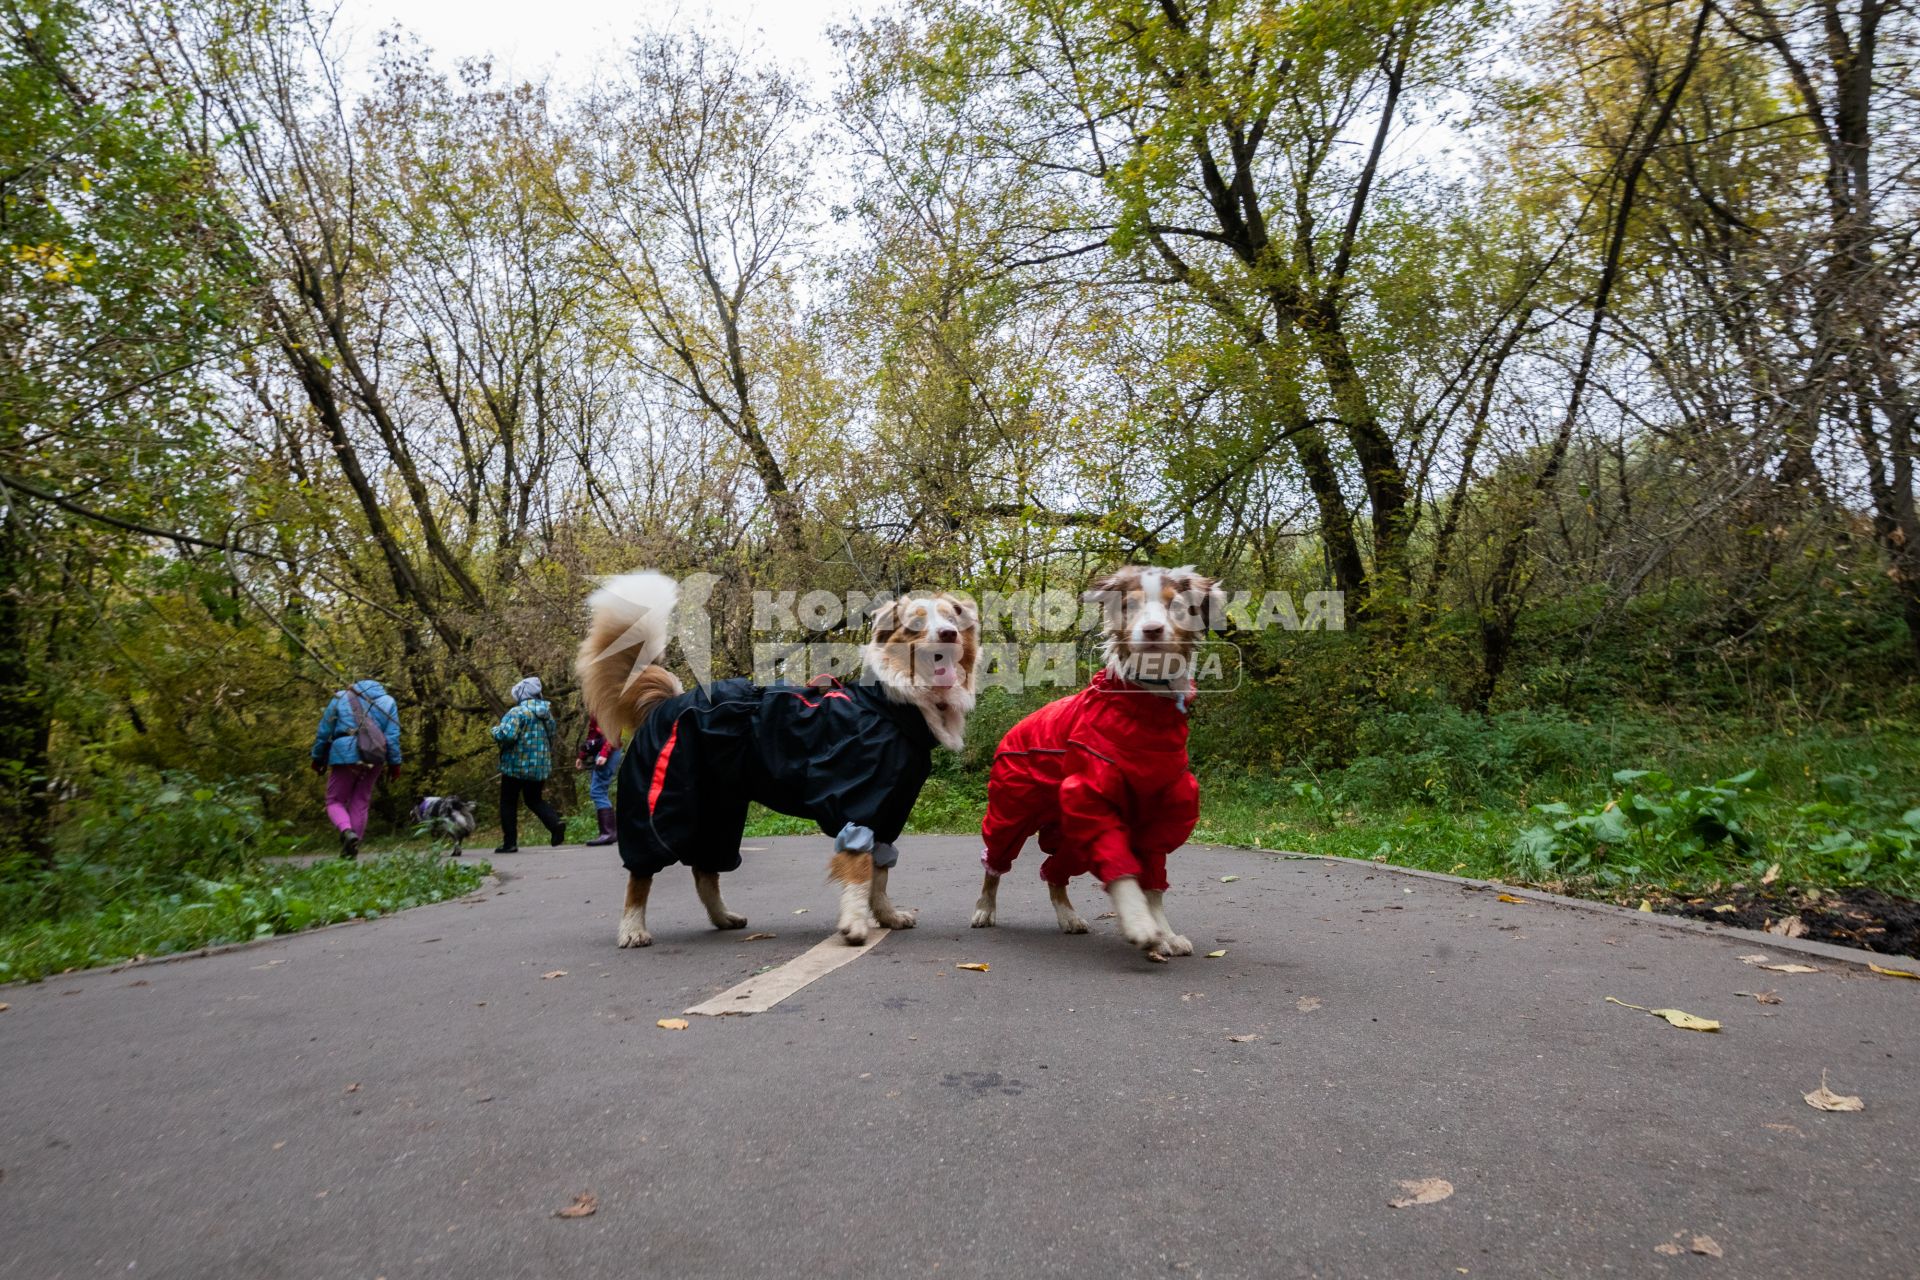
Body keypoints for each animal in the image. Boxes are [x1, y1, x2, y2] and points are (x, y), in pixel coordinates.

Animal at [572, 575, 983, 948]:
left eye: (952, 617)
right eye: (916, 622)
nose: (948, 634)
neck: (892, 704)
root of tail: (667, 701)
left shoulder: (891, 807)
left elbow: (880, 872)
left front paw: (886, 915)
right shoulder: (857, 800)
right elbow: (858, 870)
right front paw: (854, 923)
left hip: (719, 809)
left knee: (706, 869)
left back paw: (723, 918)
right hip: (664, 805)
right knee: (641, 872)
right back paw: (632, 929)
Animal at [967, 564, 1221, 967]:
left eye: (1176, 606)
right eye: (1130, 605)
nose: (1152, 630)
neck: (1145, 714)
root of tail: (1017, 725)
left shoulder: (1166, 812)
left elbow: (1153, 883)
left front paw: (1164, 932)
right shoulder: (1089, 797)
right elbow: (1122, 871)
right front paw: (1139, 925)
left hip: (1069, 836)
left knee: (1053, 872)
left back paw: (1068, 917)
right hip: (1010, 810)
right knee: (995, 862)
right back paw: (984, 909)